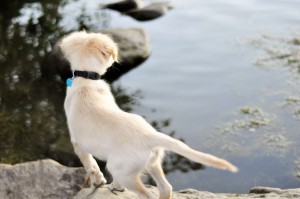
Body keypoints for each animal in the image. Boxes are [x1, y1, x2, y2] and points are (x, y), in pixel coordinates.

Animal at [59, 31, 238, 199]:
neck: (86, 80)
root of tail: (149, 135)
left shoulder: (78, 144)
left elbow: (92, 166)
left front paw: (99, 183)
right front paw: (111, 186)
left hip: (121, 169)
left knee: (146, 194)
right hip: (152, 164)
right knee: (166, 188)